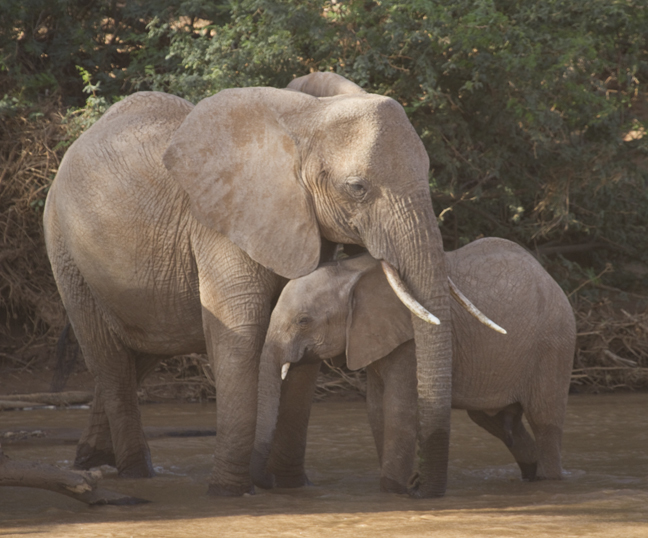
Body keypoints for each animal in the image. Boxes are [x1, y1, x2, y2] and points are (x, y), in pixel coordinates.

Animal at [44, 73, 456, 496]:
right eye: (357, 187)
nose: (419, 487)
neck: (304, 121)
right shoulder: (220, 223)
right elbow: (239, 335)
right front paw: (230, 491)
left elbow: (303, 349)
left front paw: (292, 486)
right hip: (65, 249)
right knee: (110, 362)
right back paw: (135, 473)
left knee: (137, 357)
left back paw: (90, 462)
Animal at [253, 237, 576, 492]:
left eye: (303, 321)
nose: (266, 482)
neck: (351, 271)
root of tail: (550, 278)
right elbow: (376, 409)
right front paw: (403, 484)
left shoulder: (410, 341)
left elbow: (398, 407)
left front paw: (396, 488)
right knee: (498, 422)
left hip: (554, 343)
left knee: (544, 418)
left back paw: (549, 479)